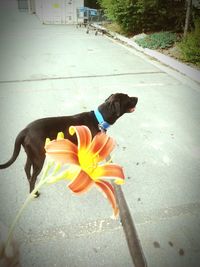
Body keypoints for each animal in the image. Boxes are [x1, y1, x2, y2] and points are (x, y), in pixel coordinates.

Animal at [0, 94, 138, 197]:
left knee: (27, 168)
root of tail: (24, 130)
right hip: (39, 157)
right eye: (128, 98)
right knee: (33, 176)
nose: (137, 97)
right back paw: (34, 193)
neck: (99, 120)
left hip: (31, 154)